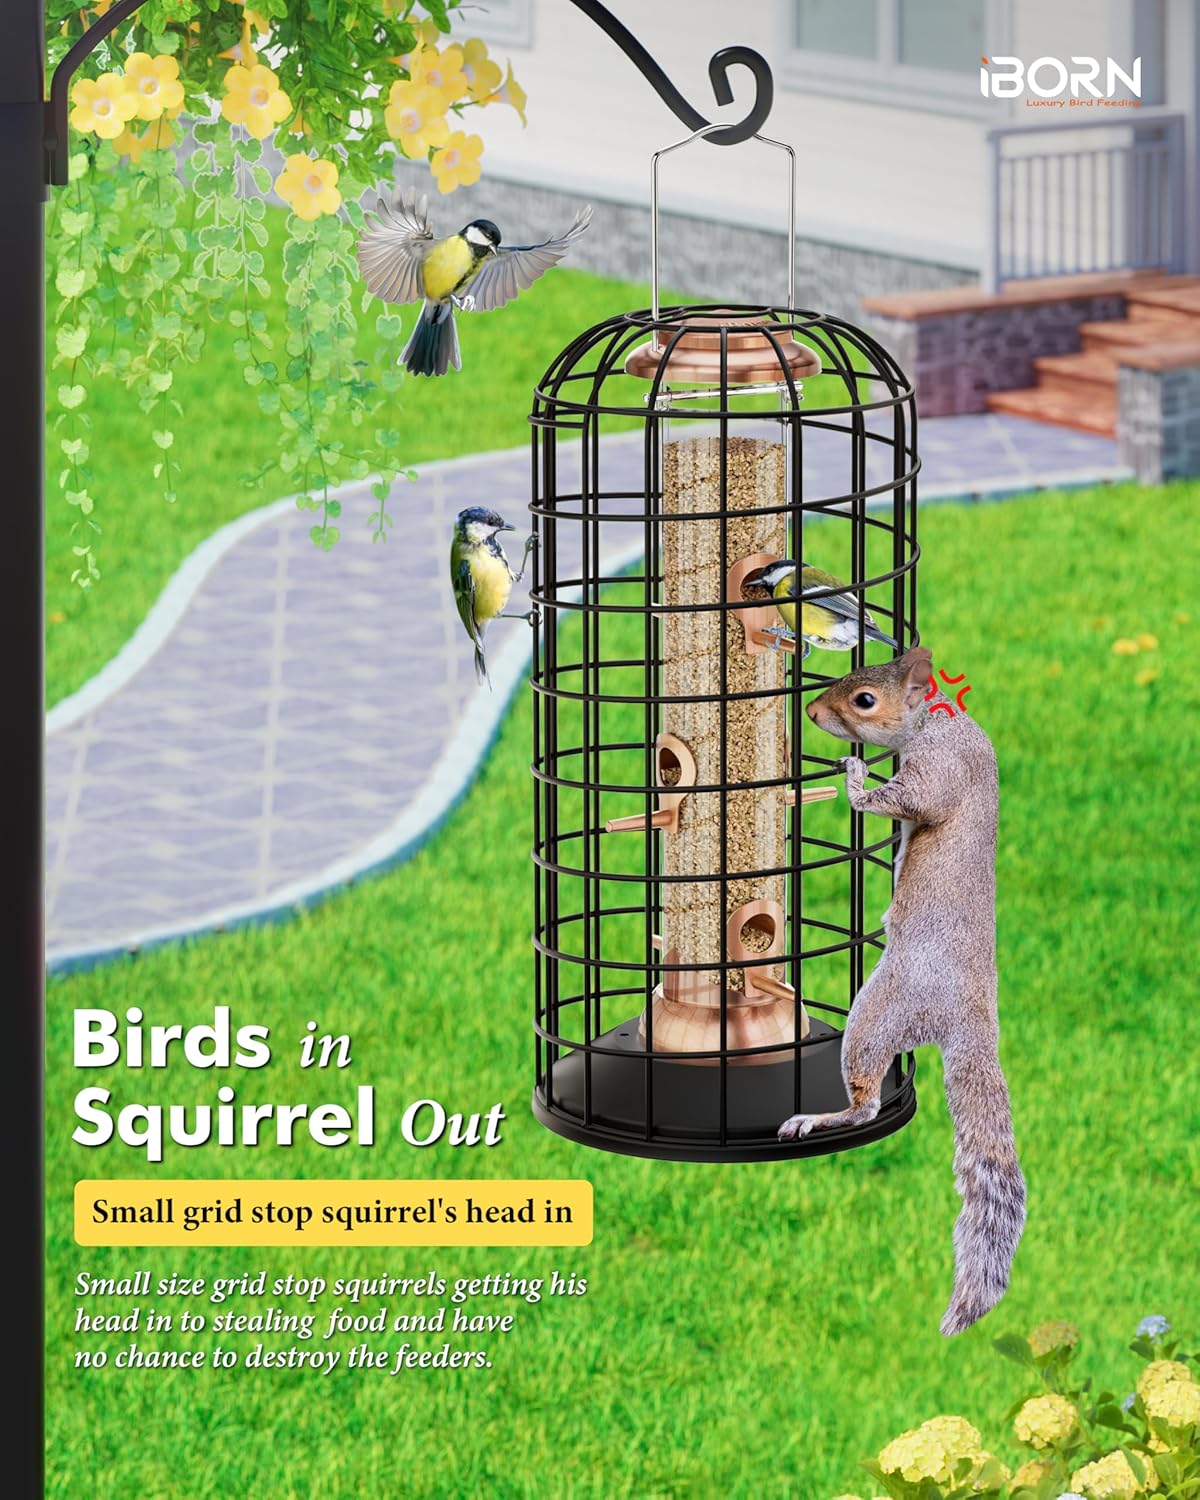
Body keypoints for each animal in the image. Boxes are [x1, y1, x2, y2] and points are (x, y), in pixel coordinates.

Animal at [778, 645, 1026, 1336]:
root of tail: (972, 1021)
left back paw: (819, 1117)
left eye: (864, 701)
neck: (940, 722)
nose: (812, 711)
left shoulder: (938, 775)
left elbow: (905, 800)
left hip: (879, 1011)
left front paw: (856, 774)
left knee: (864, 1103)